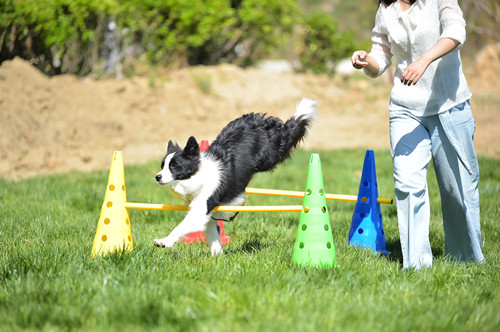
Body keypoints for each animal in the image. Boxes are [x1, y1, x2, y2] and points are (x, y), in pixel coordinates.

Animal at [154, 97, 318, 255]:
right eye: (162, 165)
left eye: (174, 166)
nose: (157, 177)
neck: (198, 174)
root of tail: (266, 121)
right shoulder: (210, 212)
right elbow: (213, 234)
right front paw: (218, 256)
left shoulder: (202, 206)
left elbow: (181, 226)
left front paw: (164, 241)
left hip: (271, 155)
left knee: (291, 130)